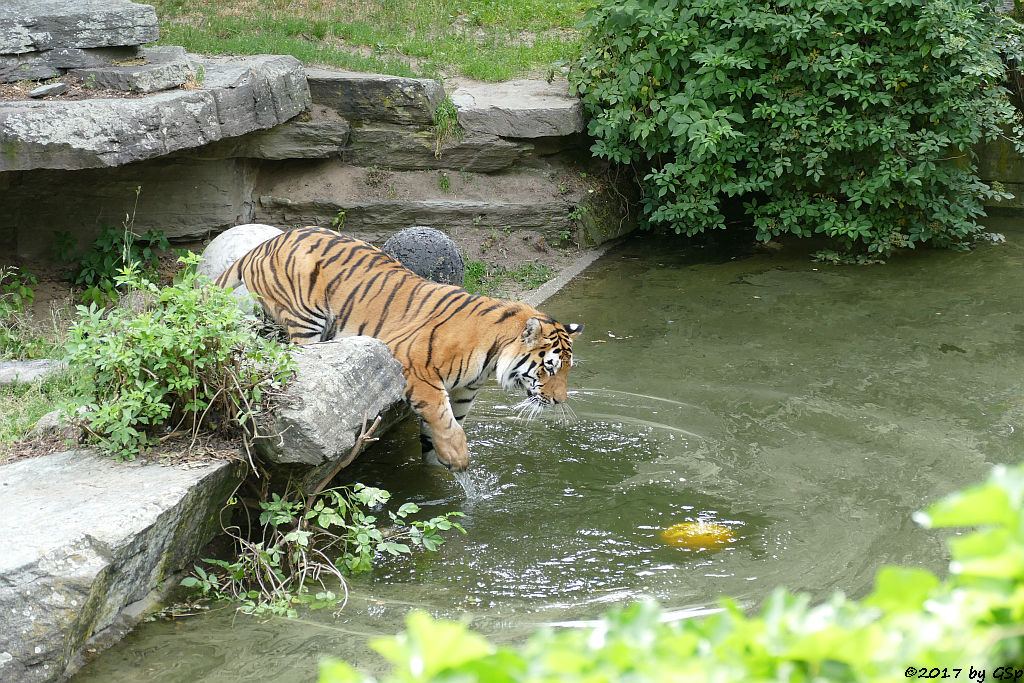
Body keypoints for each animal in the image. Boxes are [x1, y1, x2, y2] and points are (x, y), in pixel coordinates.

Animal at [214, 227, 585, 473]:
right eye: (549, 368)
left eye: (566, 370)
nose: (559, 401)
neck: (491, 359)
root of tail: (263, 245)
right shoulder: (412, 363)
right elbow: (442, 417)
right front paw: (458, 457)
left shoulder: (463, 393)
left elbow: (440, 431)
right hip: (306, 320)